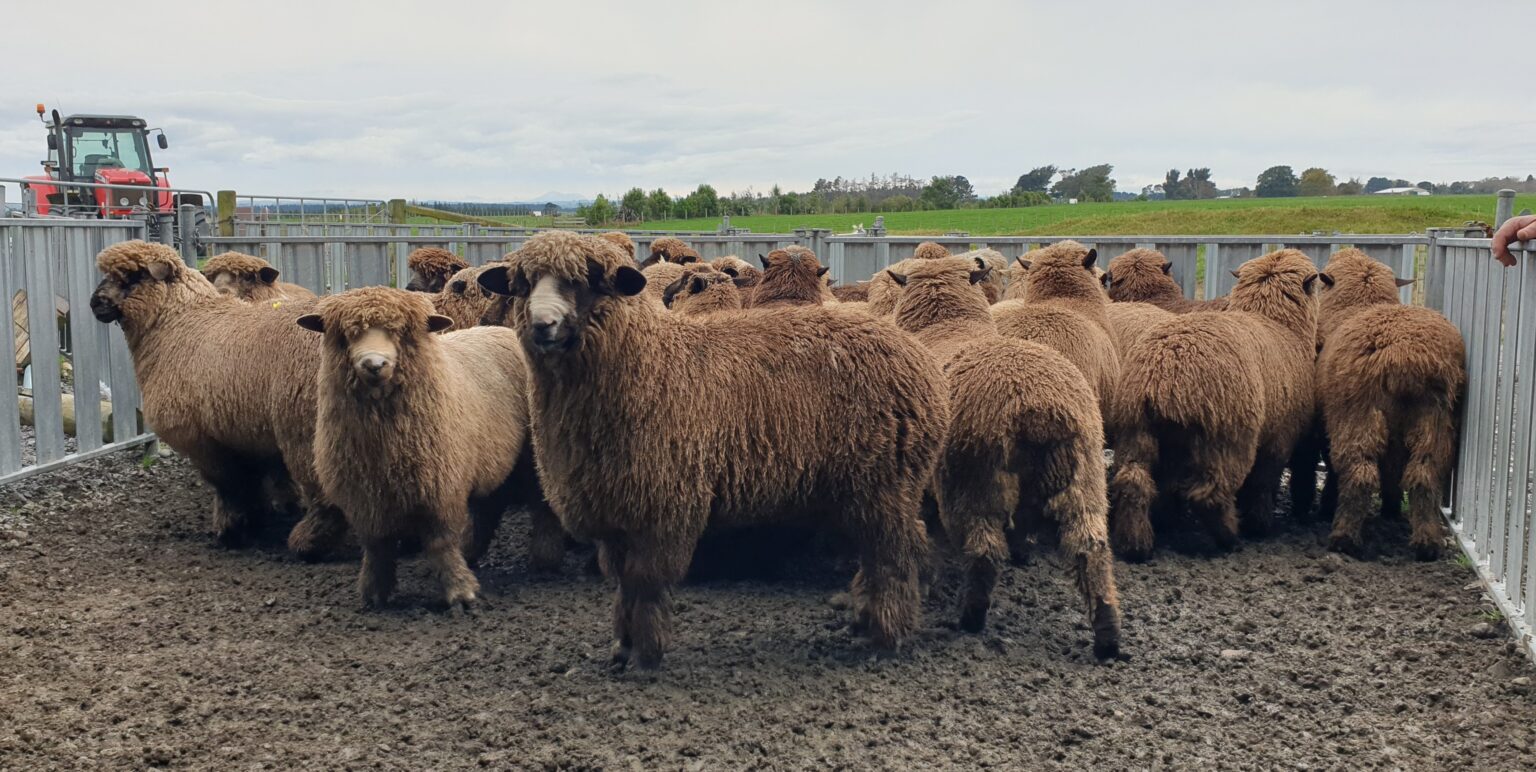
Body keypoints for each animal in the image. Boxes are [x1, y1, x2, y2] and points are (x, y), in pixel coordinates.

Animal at [90, 240, 346, 559]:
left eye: (133, 276)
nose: (95, 302)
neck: (177, 324)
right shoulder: (245, 433)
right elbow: (253, 482)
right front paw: (259, 519)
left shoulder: (201, 438)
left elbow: (230, 486)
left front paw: (232, 530)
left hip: (303, 429)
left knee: (325, 494)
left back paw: (308, 544)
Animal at [296, 287, 561, 607]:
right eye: (346, 334)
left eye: (400, 331)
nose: (374, 364)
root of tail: (500, 329)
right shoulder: (365, 497)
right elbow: (377, 545)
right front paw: (374, 592)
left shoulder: (440, 489)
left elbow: (440, 542)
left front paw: (460, 592)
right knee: (489, 505)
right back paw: (472, 551)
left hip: (530, 456)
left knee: (541, 503)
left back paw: (545, 559)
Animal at [476, 231, 947, 669]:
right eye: (521, 283)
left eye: (590, 280)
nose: (543, 324)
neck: (649, 364)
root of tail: (918, 360)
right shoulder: (616, 509)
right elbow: (624, 582)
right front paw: (622, 646)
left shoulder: (664, 504)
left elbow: (646, 581)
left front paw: (645, 652)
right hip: (865, 489)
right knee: (887, 550)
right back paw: (868, 619)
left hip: (885, 484)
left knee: (895, 555)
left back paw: (886, 633)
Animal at [1108, 249, 1321, 560]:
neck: (1277, 323)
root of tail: (1163, 372)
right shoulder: (1280, 438)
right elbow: (1263, 483)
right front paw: (1260, 525)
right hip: (1227, 437)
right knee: (1209, 494)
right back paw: (1228, 537)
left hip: (1137, 426)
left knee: (1133, 481)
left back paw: (1137, 544)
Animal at [1315, 248, 1463, 559]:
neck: (1362, 304)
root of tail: (1402, 354)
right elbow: (1393, 471)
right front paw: (1392, 509)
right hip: (1436, 417)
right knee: (1424, 473)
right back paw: (1427, 543)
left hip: (1356, 414)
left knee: (1359, 472)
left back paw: (1344, 538)